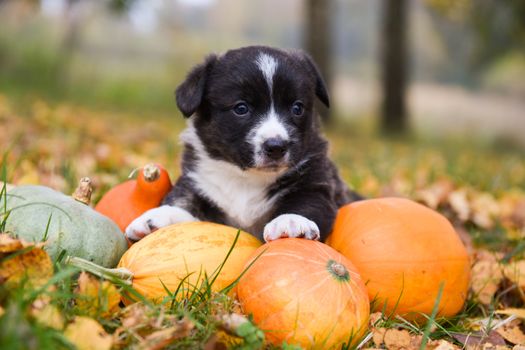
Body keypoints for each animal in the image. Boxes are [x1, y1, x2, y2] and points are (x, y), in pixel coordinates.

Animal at [126, 45, 360, 243]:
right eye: (241, 108)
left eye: (297, 108)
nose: (276, 146)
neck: (246, 178)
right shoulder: (196, 182)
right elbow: (183, 202)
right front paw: (155, 218)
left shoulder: (317, 185)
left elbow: (306, 203)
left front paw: (291, 220)